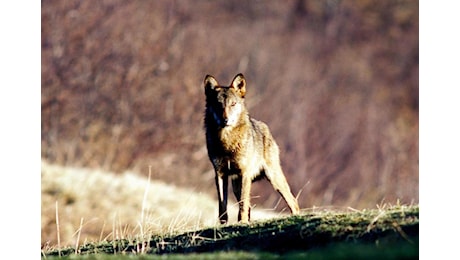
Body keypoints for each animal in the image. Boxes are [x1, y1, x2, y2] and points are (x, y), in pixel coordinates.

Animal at [203, 72, 300, 223]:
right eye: (218, 105)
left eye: (233, 104)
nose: (225, 120)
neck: (227, 142)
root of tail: (265, 127)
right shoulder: (219, 174)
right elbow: (222, 206)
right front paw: (224, 225)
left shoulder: (244, 173)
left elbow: (243, 204)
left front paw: (241, 222)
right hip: (237, 184)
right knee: (248, 207)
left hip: (273, 179)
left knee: (293, 202)